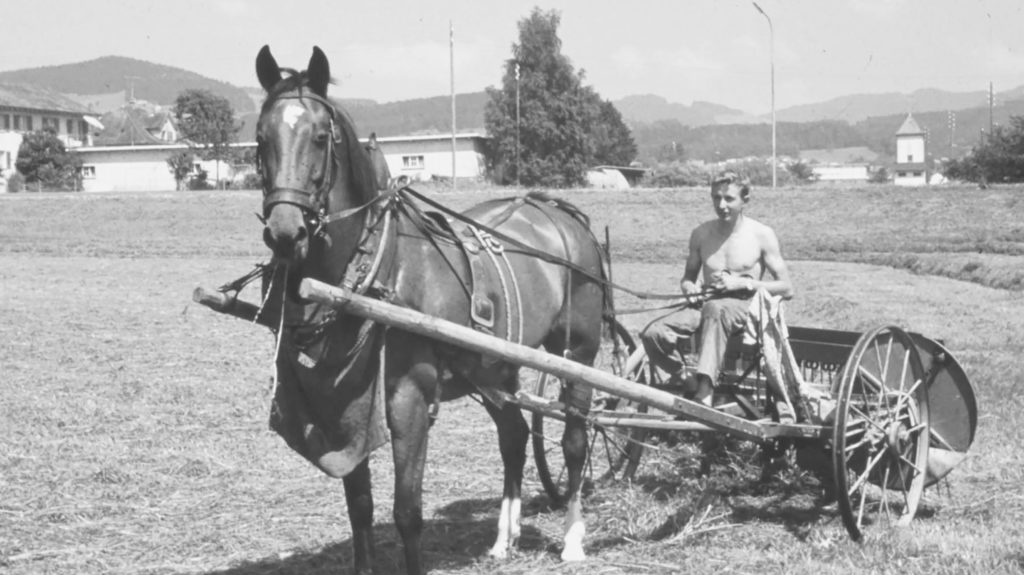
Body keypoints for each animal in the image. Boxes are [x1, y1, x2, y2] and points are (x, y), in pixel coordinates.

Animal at [254, 45, 606, 572]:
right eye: (260, 138)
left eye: (319, 137)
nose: (284, 231)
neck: (376, 271)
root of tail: (559, 213)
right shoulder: (345, 407)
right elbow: (360, 507)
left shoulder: (409, 398)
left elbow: (407, 510)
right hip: (495, 366)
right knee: (514, 436)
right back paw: (504, 537)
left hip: (577, 354)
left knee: (575, 441)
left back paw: (572, 538)